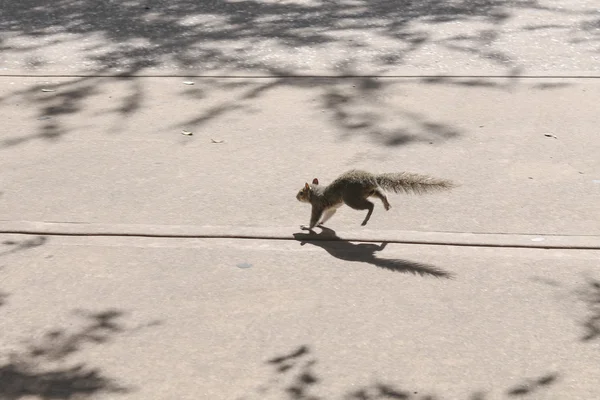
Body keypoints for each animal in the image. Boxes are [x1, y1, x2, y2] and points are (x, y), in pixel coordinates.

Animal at [296, 170, 454, 231]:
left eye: (301, 192)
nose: (296, 197)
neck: (316, 191)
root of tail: (372, 178)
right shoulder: (331, 208)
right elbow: (328, 215)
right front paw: (321, 224)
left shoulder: (317, 205)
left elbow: (314, 218)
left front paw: (307, 227)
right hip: (368, 192)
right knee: (381, 194)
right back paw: (386, 204)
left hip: (351, 199)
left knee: (370, 205)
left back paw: (366, 219)